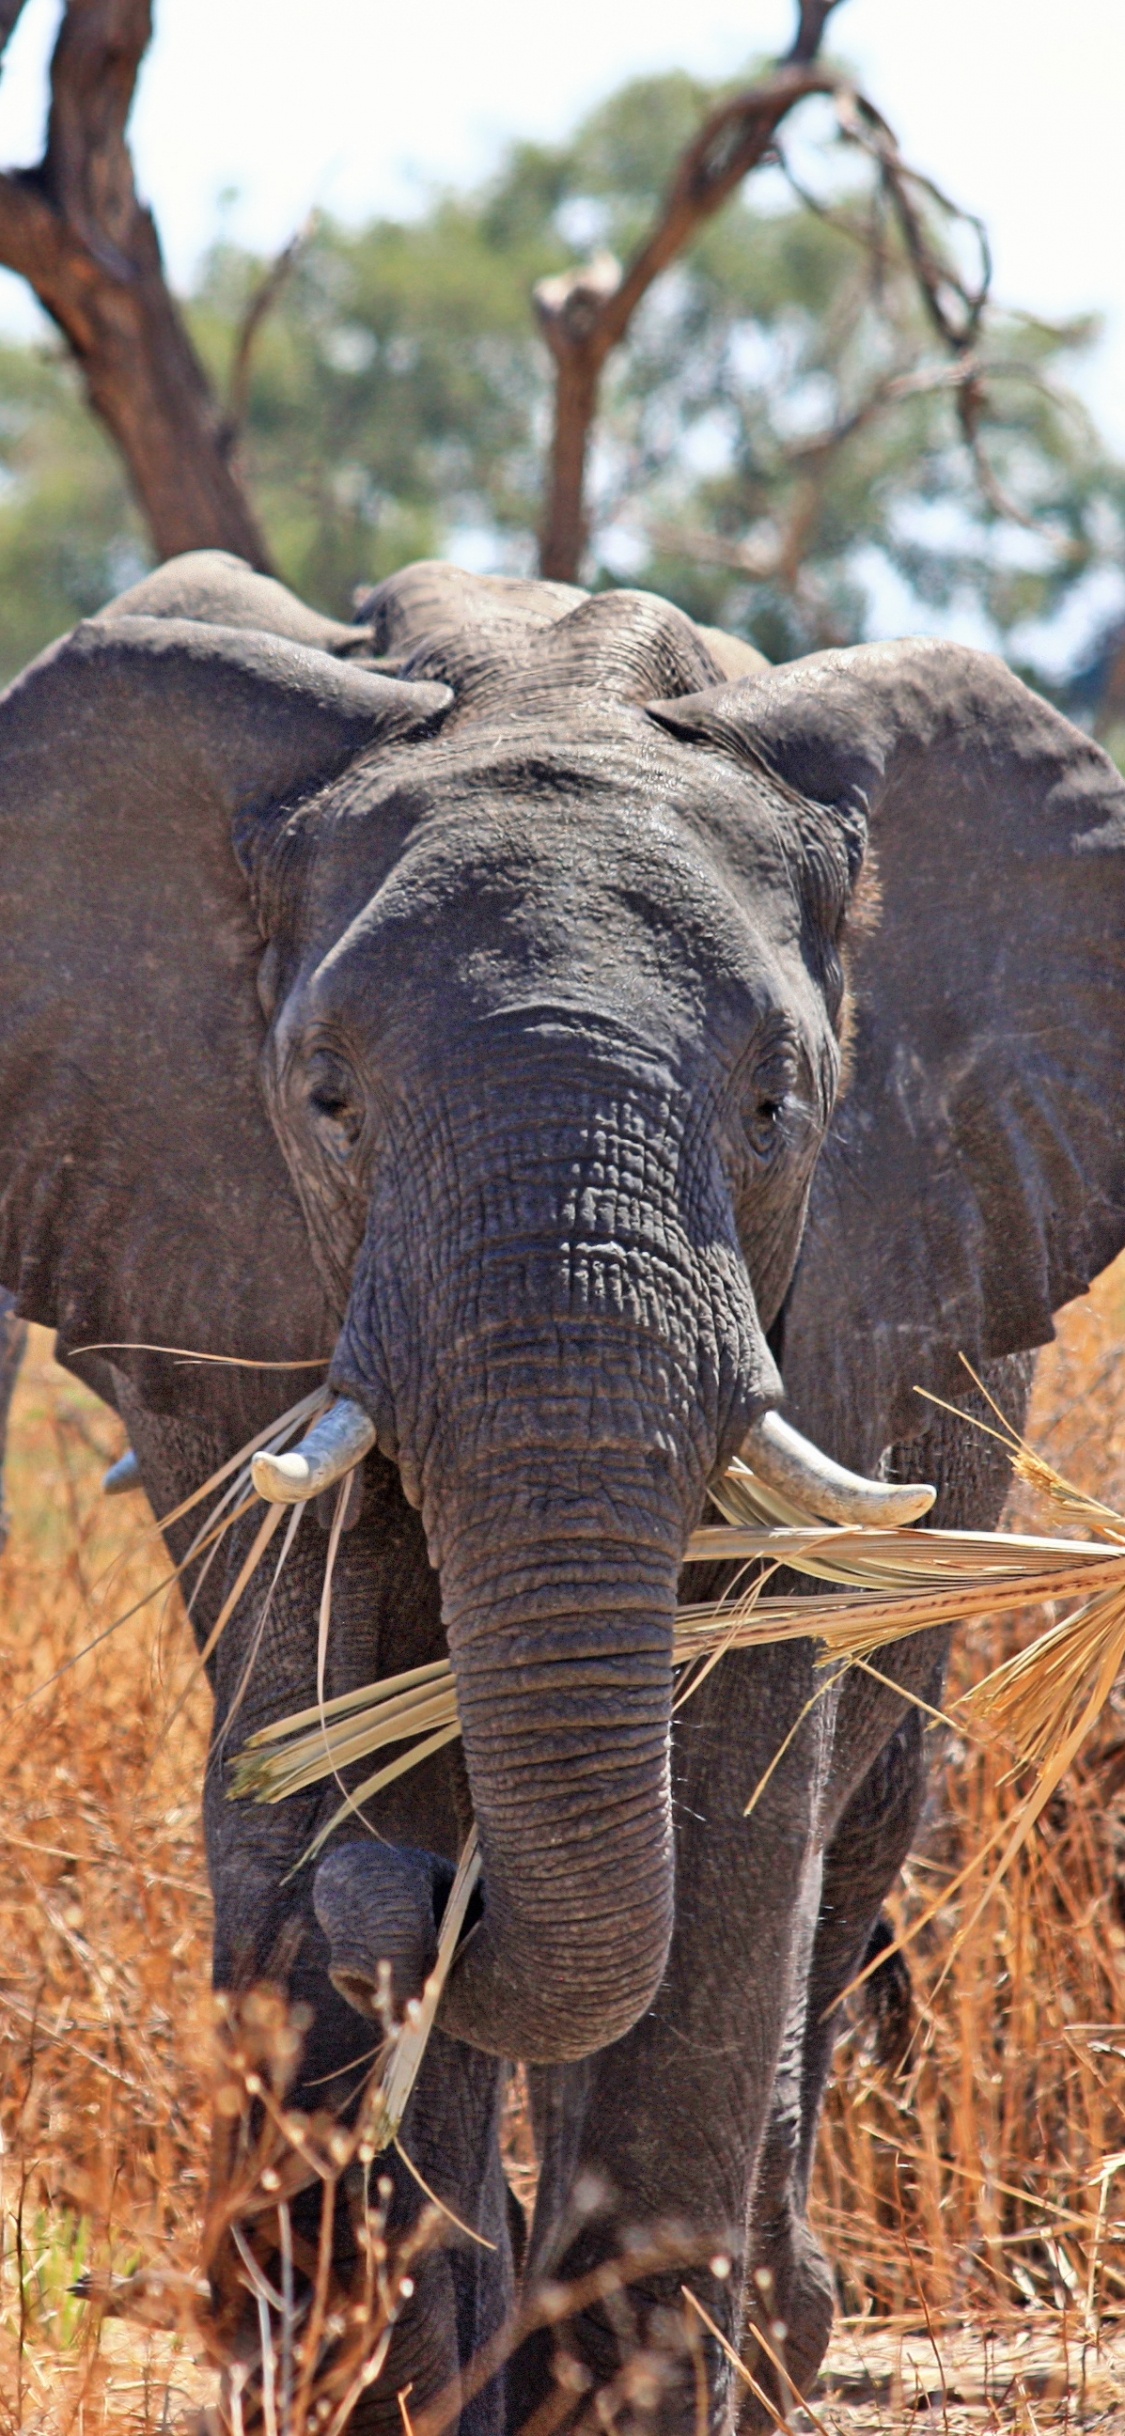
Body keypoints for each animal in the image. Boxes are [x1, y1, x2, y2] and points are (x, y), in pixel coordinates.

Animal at [2, 547, 1125, 2434]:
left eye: (777, 1102)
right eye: (324, 1097)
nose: (406, 1900)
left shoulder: (851, 1270)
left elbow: (736, 1793)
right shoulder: (217, 1257)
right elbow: (310, 1692)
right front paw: (388, 2372)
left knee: (853, 1837)